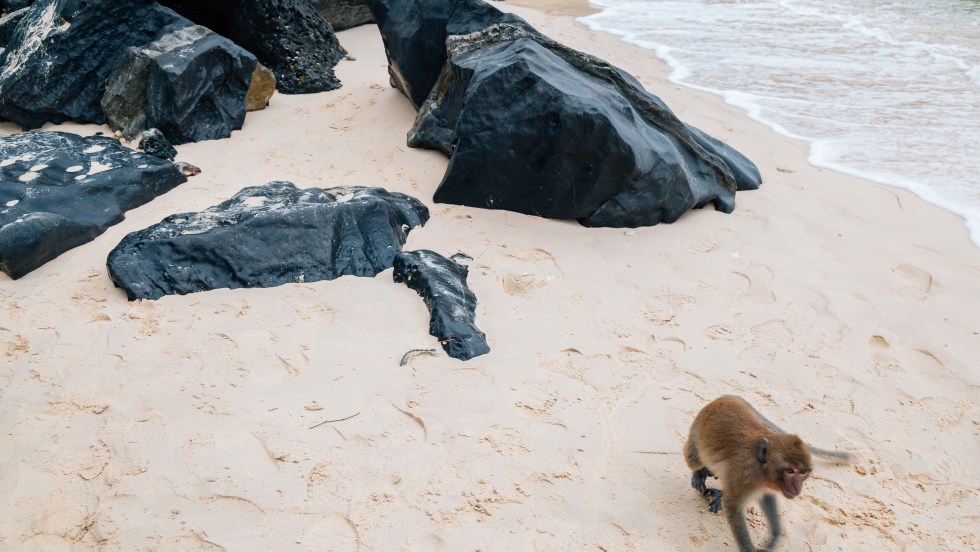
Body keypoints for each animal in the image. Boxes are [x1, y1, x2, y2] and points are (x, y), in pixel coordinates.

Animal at [684, 395, 851, 552]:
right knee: (694, 459)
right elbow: (733, 507)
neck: (762, 469)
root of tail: (729, 397)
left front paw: (775, 535)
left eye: (803, 472)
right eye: (790, 471)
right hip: (698, 428)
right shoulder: (746, 475)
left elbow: (766, 497)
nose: (797, 488)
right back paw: (701, 472)